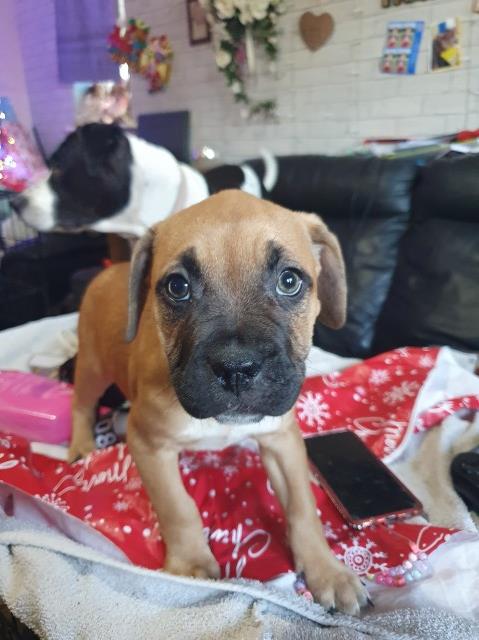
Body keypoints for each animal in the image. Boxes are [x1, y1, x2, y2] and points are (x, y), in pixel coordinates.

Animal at [69, 190, 366, 616]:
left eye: (289, 281)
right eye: (177, 286)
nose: (236, 368)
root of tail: (109, 271)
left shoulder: (282, 440)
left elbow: (302, 507)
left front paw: (325, 570)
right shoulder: (149, 445)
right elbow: (177, 507)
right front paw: (190, 565)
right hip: (92, 366)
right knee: (81, 403)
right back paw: (80, 444)